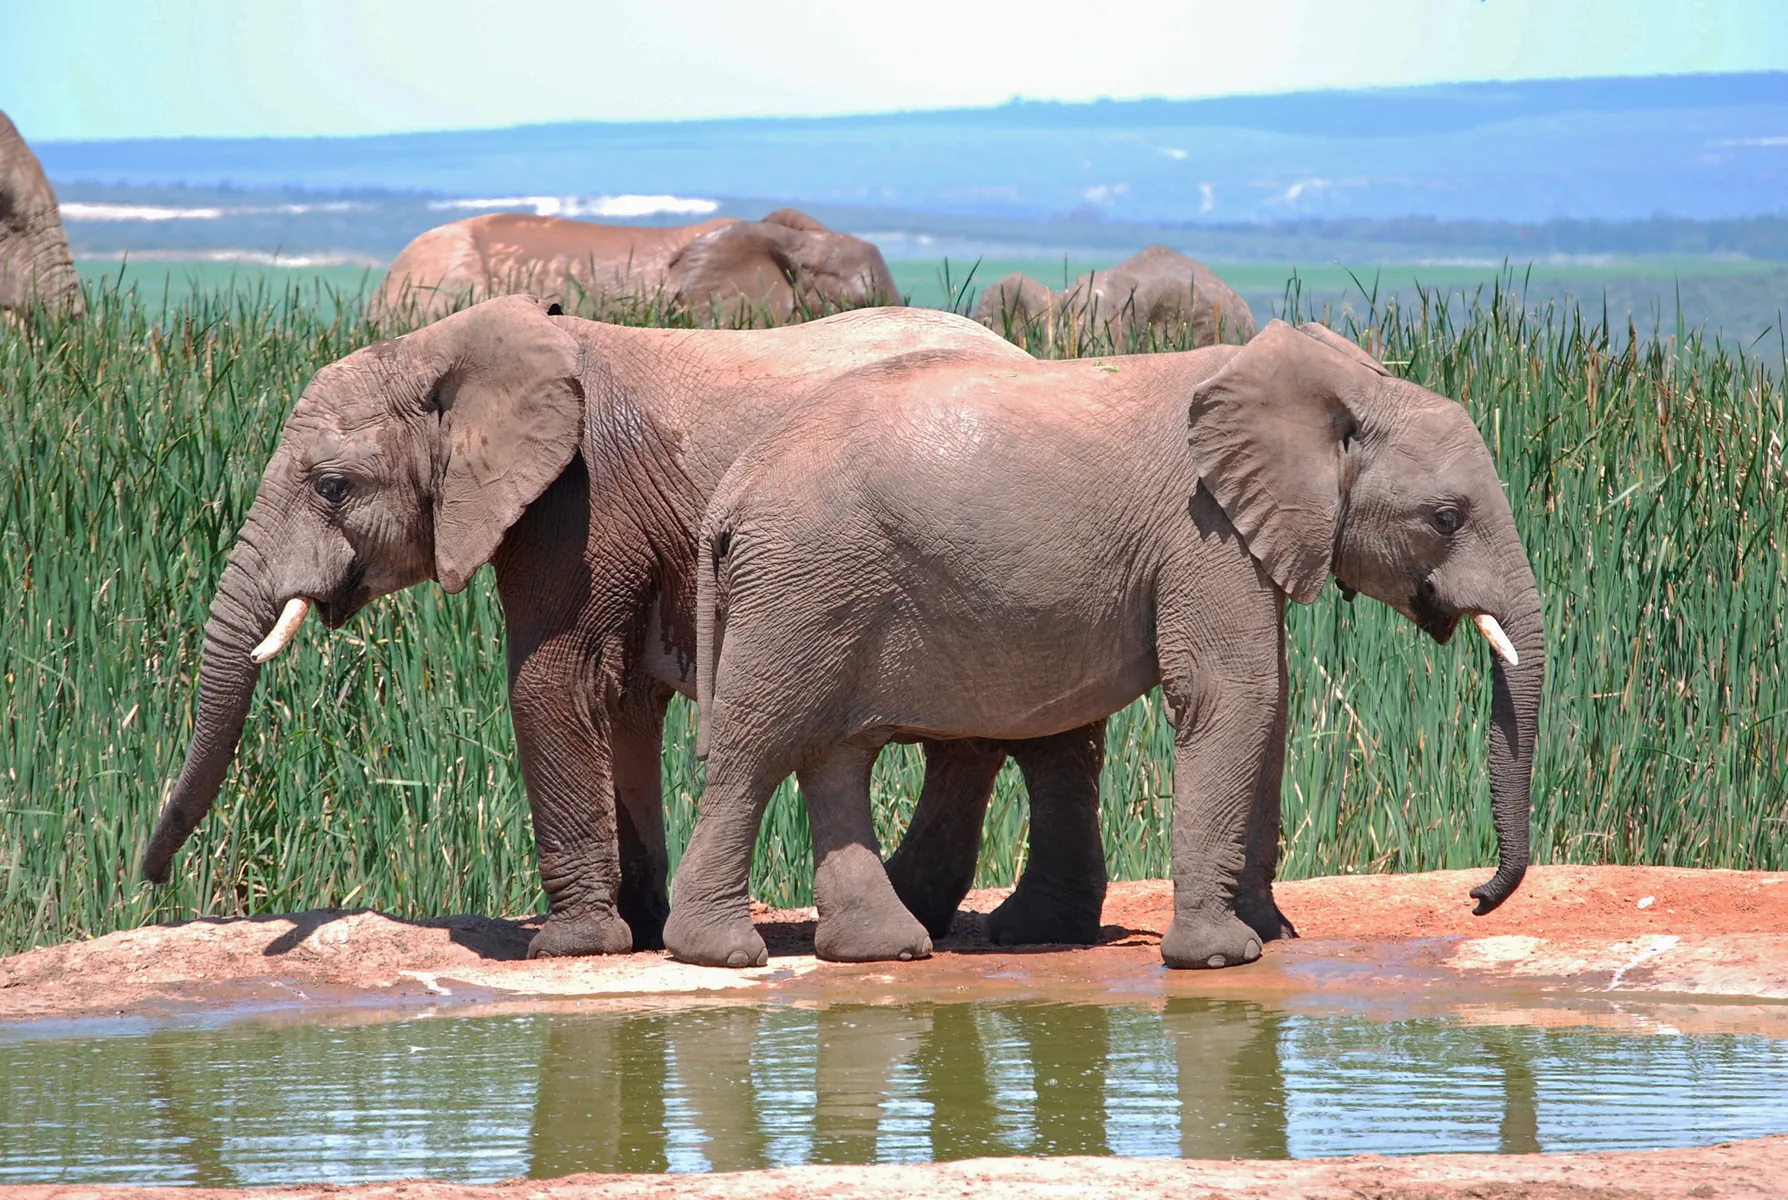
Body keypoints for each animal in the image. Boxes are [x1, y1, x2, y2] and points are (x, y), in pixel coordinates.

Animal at [138, 295, 1115, 958]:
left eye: (333, 487)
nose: (149, 882)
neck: (446, 348)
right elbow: (621, 701)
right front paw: (642, 927)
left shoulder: (576, 499)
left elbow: (552, 681)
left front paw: (568, 947)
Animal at [673, 319, 1544, 970]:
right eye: (1446, 519)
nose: (1476, 898)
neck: (1340, 386)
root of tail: (731, 493)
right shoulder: (1203, 530)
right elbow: (1234, 693)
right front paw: (1220, 956)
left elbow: (1272, 699)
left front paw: (1272, 935)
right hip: (803, 581)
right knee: (759, 745)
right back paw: (723, 953)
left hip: (824, 585)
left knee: (836, 752)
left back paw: (884, 950)